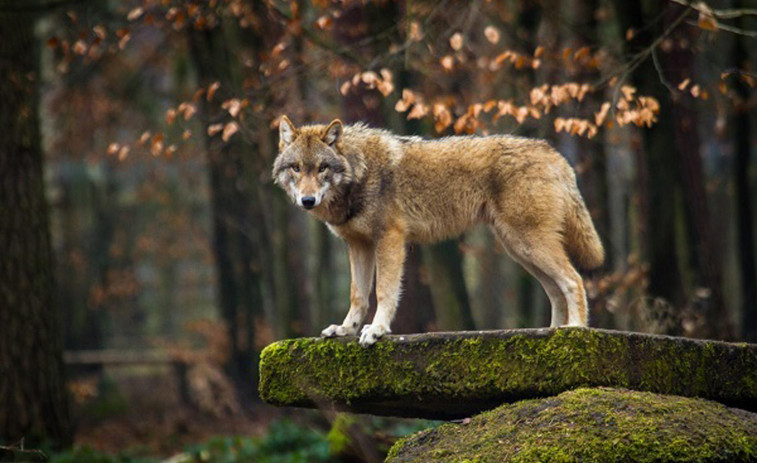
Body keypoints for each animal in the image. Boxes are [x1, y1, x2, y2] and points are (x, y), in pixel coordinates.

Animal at [272, 116, 604, 348]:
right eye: (296, 168)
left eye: (322, 168)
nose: (307, 200)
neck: (359, 171)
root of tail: (555, 155)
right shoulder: (358, 245)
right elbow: (358, 295)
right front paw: (345, 330)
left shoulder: (389, 239)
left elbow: (383, 292)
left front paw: (376, 330)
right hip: (519, 249)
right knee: (556, 290)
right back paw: (551, 332)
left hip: (528, 244)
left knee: (573, 280)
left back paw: (575, 330)